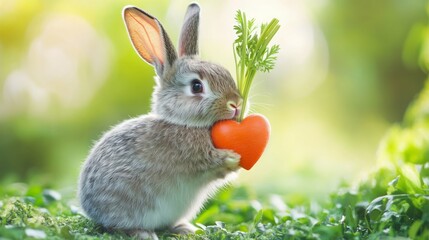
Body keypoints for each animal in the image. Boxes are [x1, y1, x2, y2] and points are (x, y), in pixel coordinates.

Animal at [77, 3, 242, 240]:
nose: (236, 104)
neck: (183, 123)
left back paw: (184, 228)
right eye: (197, 86)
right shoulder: (193, 155)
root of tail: (90, 208)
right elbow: (209, 159)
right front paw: (232, 157)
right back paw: (143, 233)